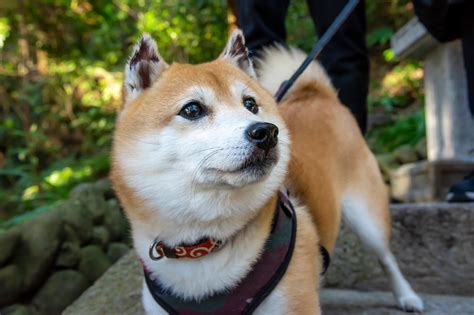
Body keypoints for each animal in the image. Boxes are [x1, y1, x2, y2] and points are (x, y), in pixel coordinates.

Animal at [110, 28, 422, 314]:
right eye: (192, 110)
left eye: (250, 105)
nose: (266, 133)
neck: (202, 243)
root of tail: (317, 94)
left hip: (367, 217)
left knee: (387, 258)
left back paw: (407, 296)